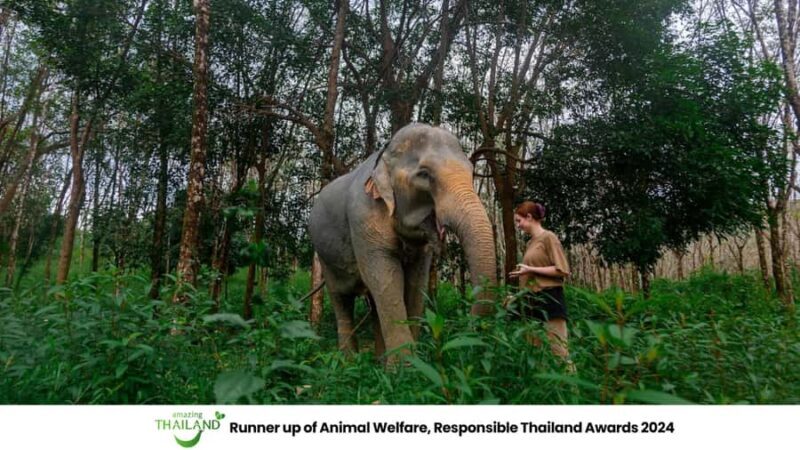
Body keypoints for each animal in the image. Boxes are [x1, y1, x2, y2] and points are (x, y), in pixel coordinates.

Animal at [309, 123, 497, 360]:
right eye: (424, 174)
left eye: (472, 173)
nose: (469, 329)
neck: (385, 154)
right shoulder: (363, 219)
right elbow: (387, 279)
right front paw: (406, 367)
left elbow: (416, 283)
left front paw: (413, 363)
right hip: (325, 258)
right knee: (341, 299)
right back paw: (349, 363)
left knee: (372, 303)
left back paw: (378, 361)